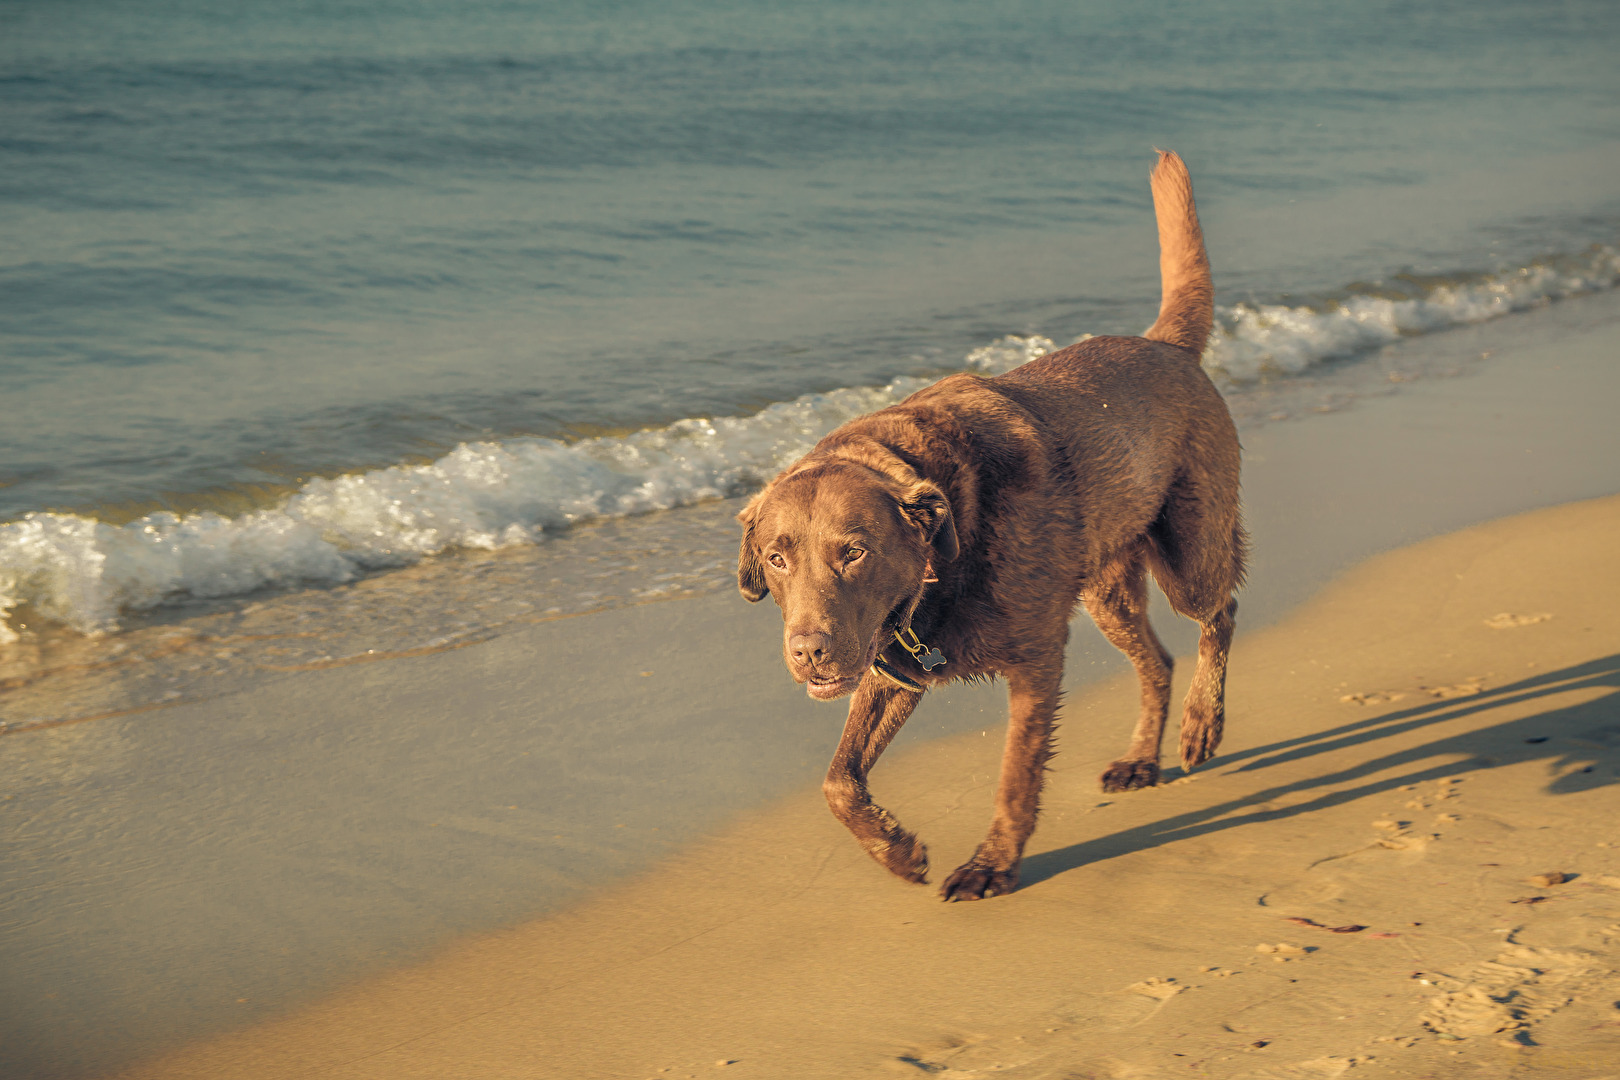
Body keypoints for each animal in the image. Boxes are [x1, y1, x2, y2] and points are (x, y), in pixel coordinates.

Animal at [741, 148, 1244, 900]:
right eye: (776, 559)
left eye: (853, 552)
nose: (808, 651)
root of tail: (1167, 345)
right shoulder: (893, 664)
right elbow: (838, 779)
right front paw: (897, 851)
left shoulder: (1036, 659)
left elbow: (1015, 774)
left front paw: (991, 864)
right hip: (1107, 590)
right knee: (1156, 658)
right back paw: (1140, 758)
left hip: (1189, 549)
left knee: (1221, 610)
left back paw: (1201, 724)